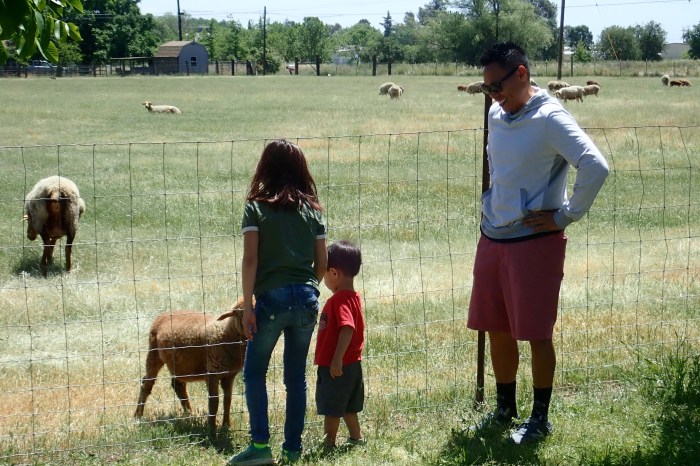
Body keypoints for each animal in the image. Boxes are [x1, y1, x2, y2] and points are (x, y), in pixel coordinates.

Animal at [134, 300, 247, 433]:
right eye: (241, 314)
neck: (226, 332)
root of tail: (163, 314)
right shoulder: (212, 373)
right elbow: (214, 402)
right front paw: (211, 429)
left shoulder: (229, 375)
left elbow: (227, 400)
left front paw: (226, 426)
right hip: (154, 353)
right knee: (147, 384)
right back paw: (138, 416)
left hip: (179, 364)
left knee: (177, 385)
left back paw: (189, 414)